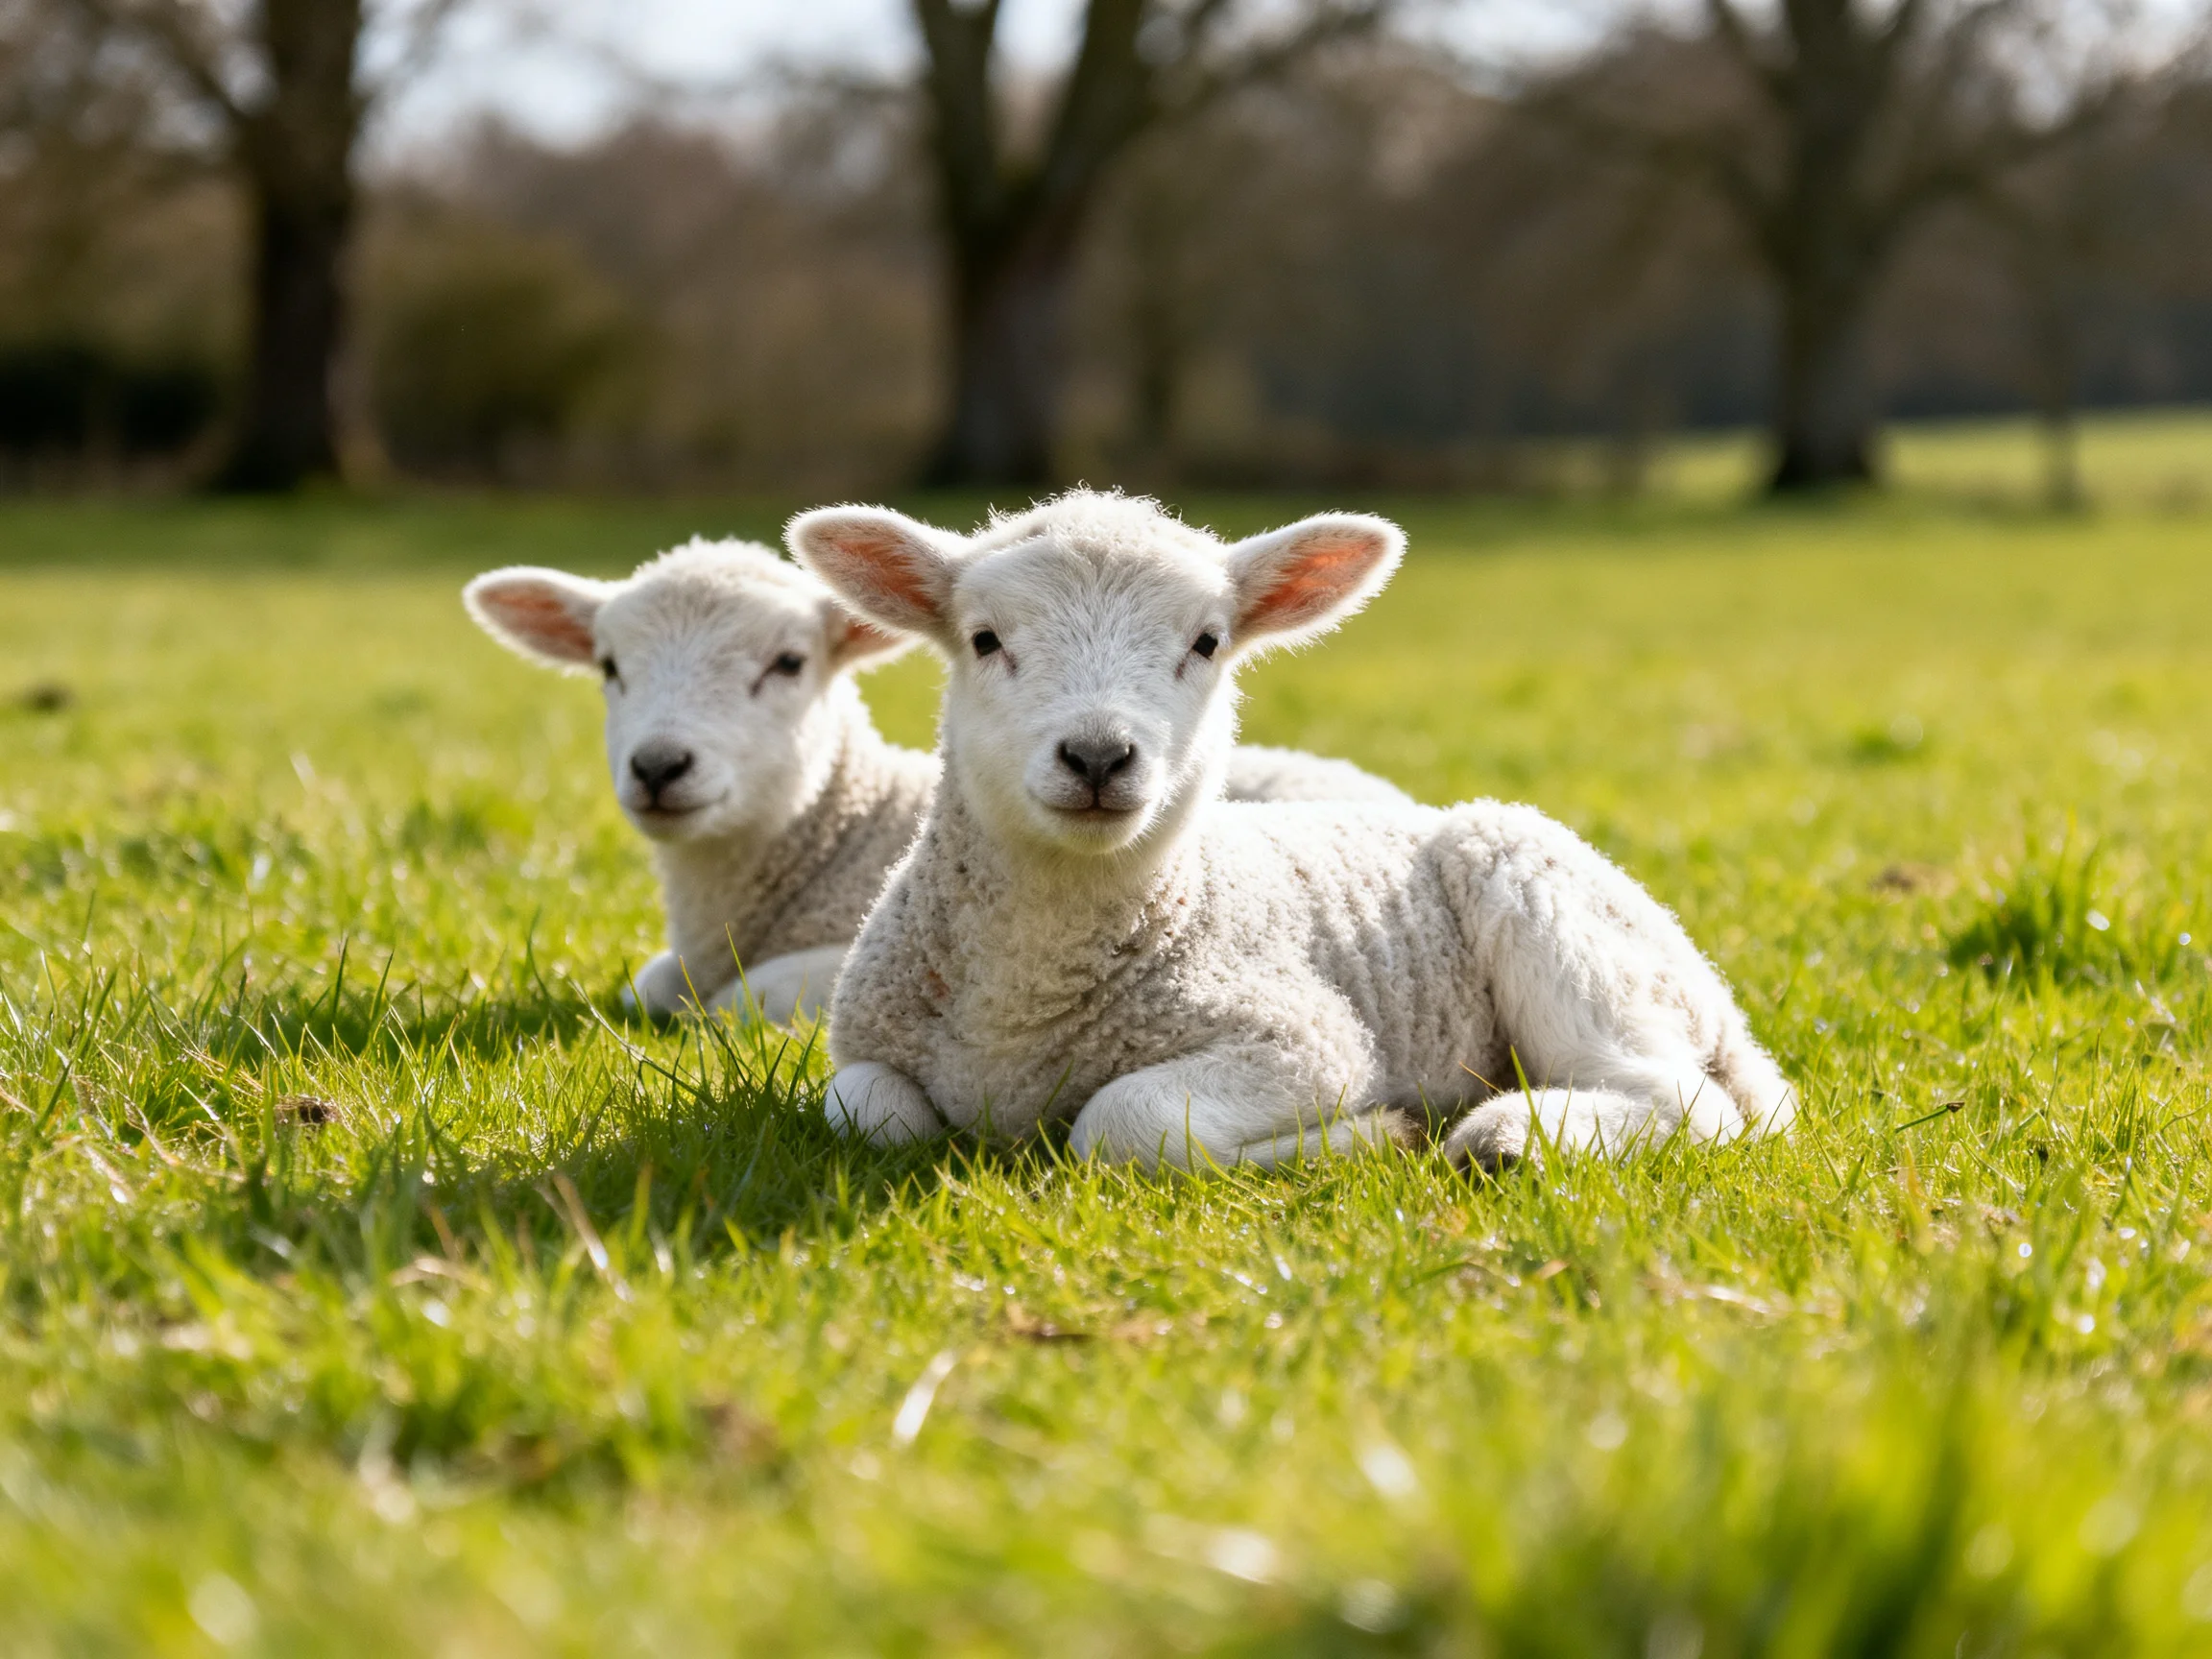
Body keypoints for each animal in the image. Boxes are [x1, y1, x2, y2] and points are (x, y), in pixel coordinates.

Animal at [790, 491, 1798, 1172]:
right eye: (985, 639)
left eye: (1206, 643)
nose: (1099, 756)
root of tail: (1715, 997)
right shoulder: (864, 1047)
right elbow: (868, 1113)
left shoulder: (1303, 1041)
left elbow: (1122, 1125)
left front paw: (1368, 1133)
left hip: (1553, 909)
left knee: (1688, 1100)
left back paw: (1505, 1136)